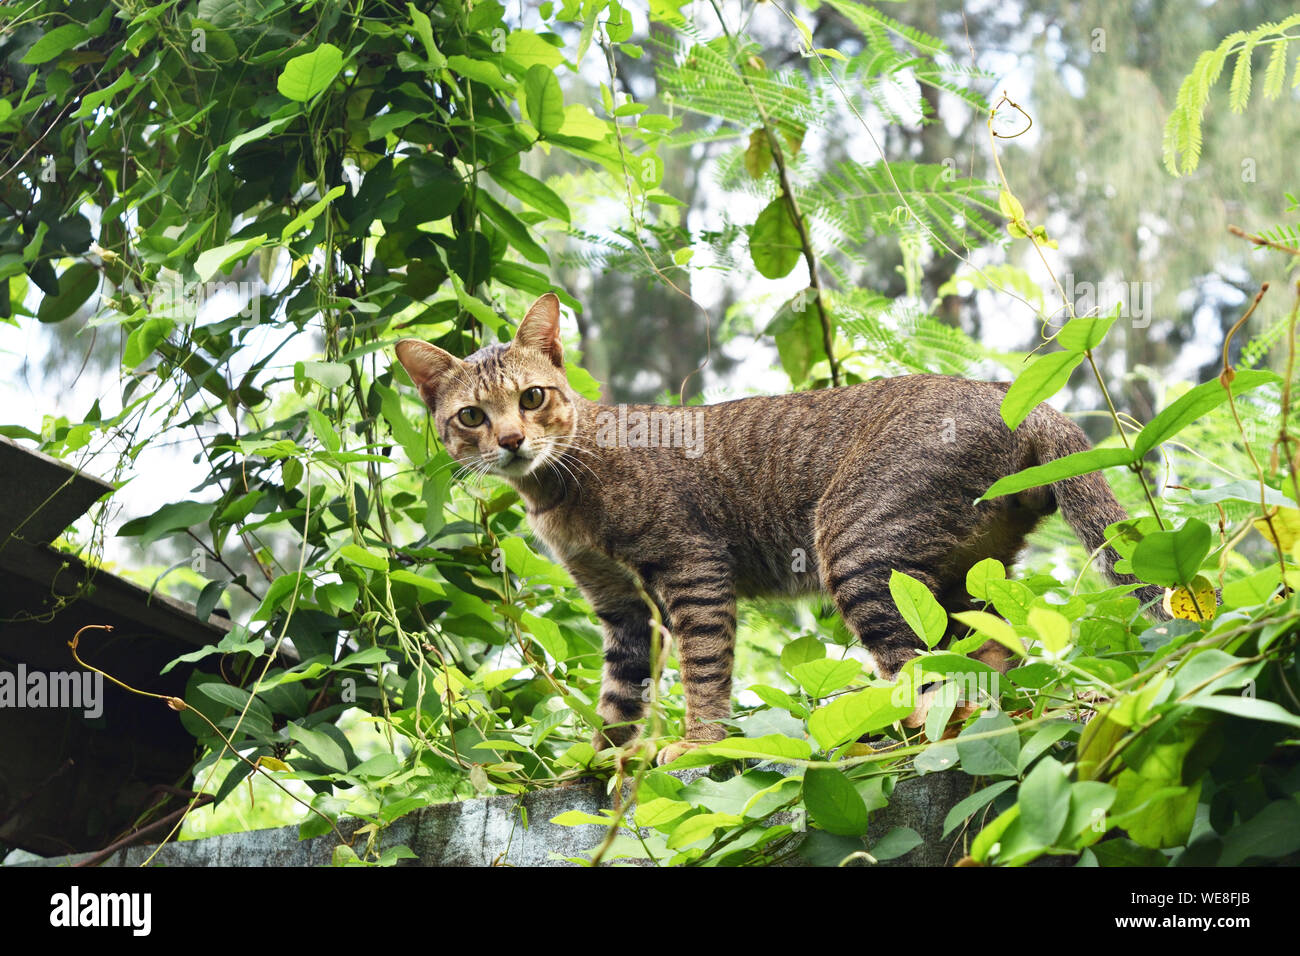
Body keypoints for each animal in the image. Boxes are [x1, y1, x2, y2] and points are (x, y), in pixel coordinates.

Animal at [392, 295, 1159, 764]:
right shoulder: (620, 606)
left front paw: (698, 744)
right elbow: (620, 695)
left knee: (932, 681)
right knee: (992, 661)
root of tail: (1012, 394)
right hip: (952, 580)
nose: (512, 440)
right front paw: (600, 761)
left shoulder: (691, 567)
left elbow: (704, 671)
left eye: (532, 397)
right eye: (471, 416)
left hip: (857, 547)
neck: (560, 489)